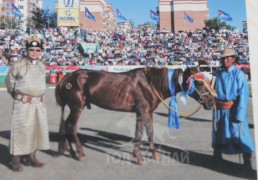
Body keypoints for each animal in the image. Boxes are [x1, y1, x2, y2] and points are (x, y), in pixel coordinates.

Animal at [55, 65, 216, 165]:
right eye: (200, 83)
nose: (212, 103)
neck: (150, 84)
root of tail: (65, 79)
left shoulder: (148, 112)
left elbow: (150, 132)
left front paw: (154, 154)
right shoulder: (141, 111)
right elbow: (139, 133)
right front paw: (139, 158)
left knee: (67, 125)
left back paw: (71, 152)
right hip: (77, 107)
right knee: (71, 126)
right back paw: (80, 153)